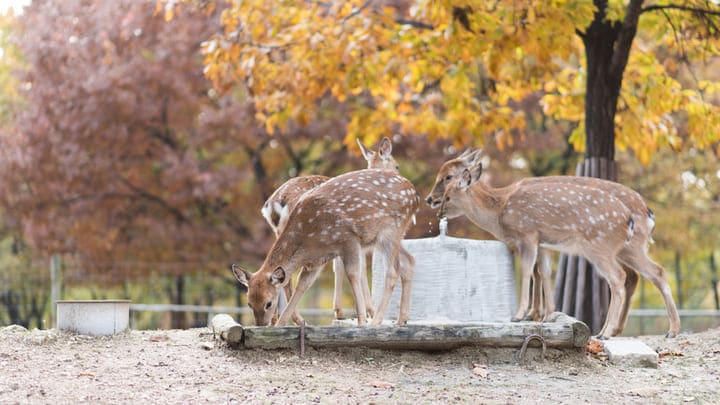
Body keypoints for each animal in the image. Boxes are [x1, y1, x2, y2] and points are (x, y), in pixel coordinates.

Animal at [233, 169, 420, 326]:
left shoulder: (349, 239)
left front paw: (361, 321)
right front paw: (281, 324)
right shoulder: (317, 260)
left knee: (393, 270)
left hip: (390, 231)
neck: (309, 237)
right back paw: (401, 320)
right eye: (249, 303)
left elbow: (353, 274)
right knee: (409, 260)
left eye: (268, 303)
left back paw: (376, 322)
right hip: (389, 237)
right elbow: (303, 284)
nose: (261, 325)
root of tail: (415, 194)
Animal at [258, 136, 410, 322]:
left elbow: (339, 267)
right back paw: (296, 318)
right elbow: (357, 270)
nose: (399, 177)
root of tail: (274, 205)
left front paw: (341, 311)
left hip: (281, 233)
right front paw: (367, 312)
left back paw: (277, 319)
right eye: (397, 166)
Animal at [434, 159, 680, 340]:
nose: (437, 209)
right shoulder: (544, 242)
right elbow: (544, 272)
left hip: (600, 247)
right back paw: (667, 330)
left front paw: (520, 315)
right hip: (625, 249)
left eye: (448, 194)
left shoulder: (528, 234)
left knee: (619, 277)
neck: (499, 210)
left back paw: (607, 332)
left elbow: (527, 271)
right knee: (655, 272)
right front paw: (548, 315)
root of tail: (638, 217)